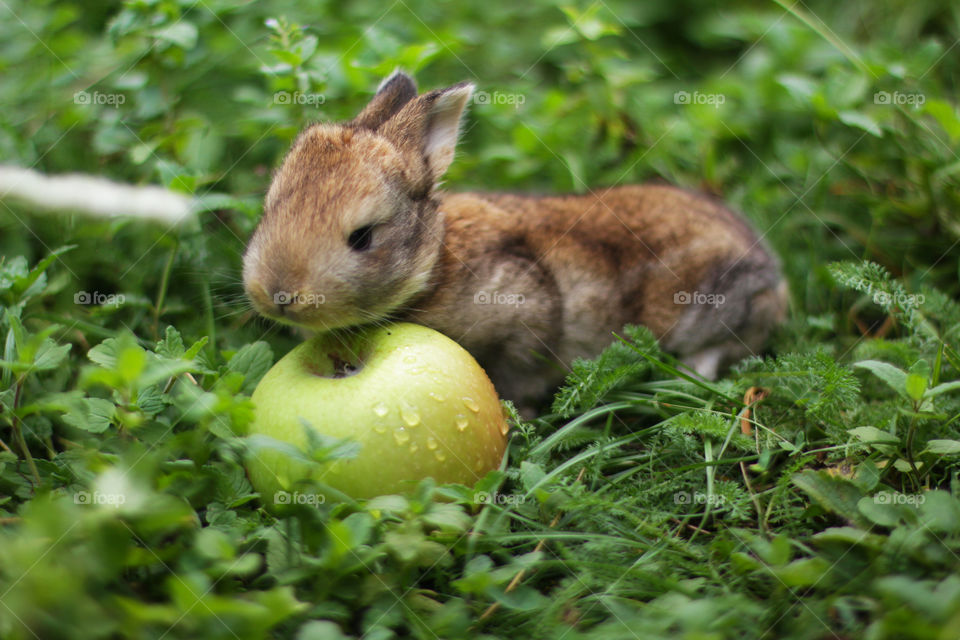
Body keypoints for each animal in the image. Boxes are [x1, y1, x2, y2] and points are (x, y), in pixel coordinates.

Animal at [242, 70, 788, 410]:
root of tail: (776, 279)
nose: (278, 295)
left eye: (362, 237)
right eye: (269, 208)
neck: (434, 265)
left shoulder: (524, 313)